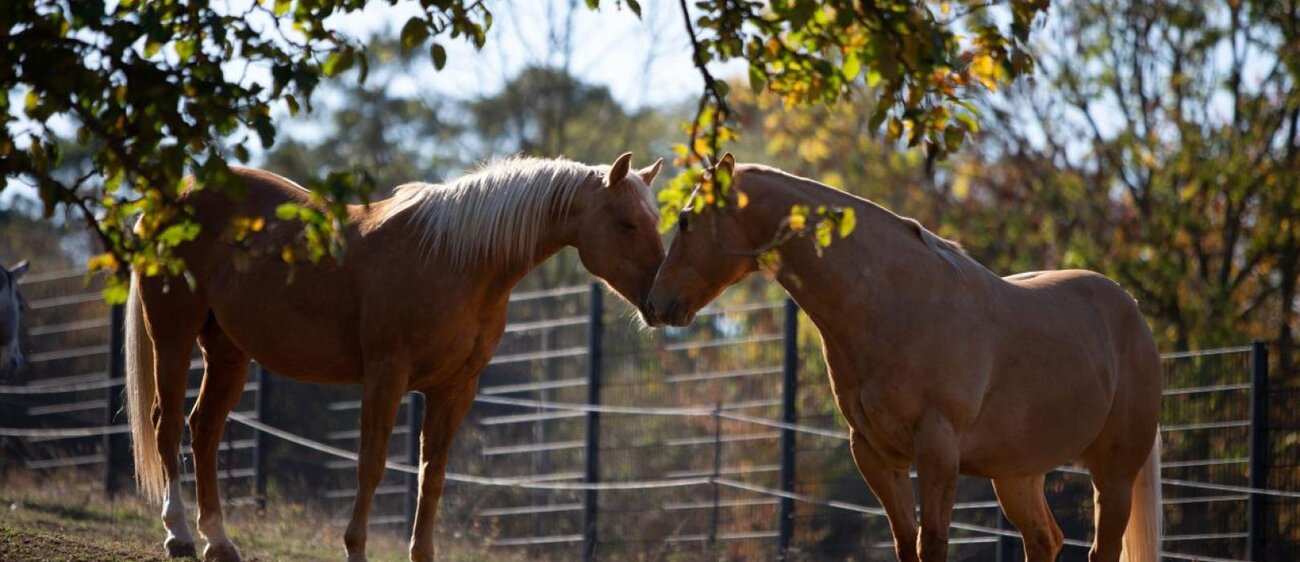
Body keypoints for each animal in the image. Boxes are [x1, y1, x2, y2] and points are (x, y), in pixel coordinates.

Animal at [125, 152, 665, 562]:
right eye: (627, 223)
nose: (662, 302)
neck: (455, 258)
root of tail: (174, 197)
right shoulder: (386, 376)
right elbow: (373, 464)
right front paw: (355, 548)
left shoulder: (454, 389)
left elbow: (433, 474)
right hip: (172, 335)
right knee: (166, 423)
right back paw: (179, 534)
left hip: (228, 351)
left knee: (204, 429)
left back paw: (218, 541)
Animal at [644, 154, 1164, 562]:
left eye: (686, 219)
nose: (654, 303)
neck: (892, 304)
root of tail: (1132, 311)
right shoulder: (875, 453)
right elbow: (904, 543)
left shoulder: (936, 448)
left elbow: (931, 543)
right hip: (1018, 474)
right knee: (1044, 540)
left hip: (1113, 474)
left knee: (1102, 549)